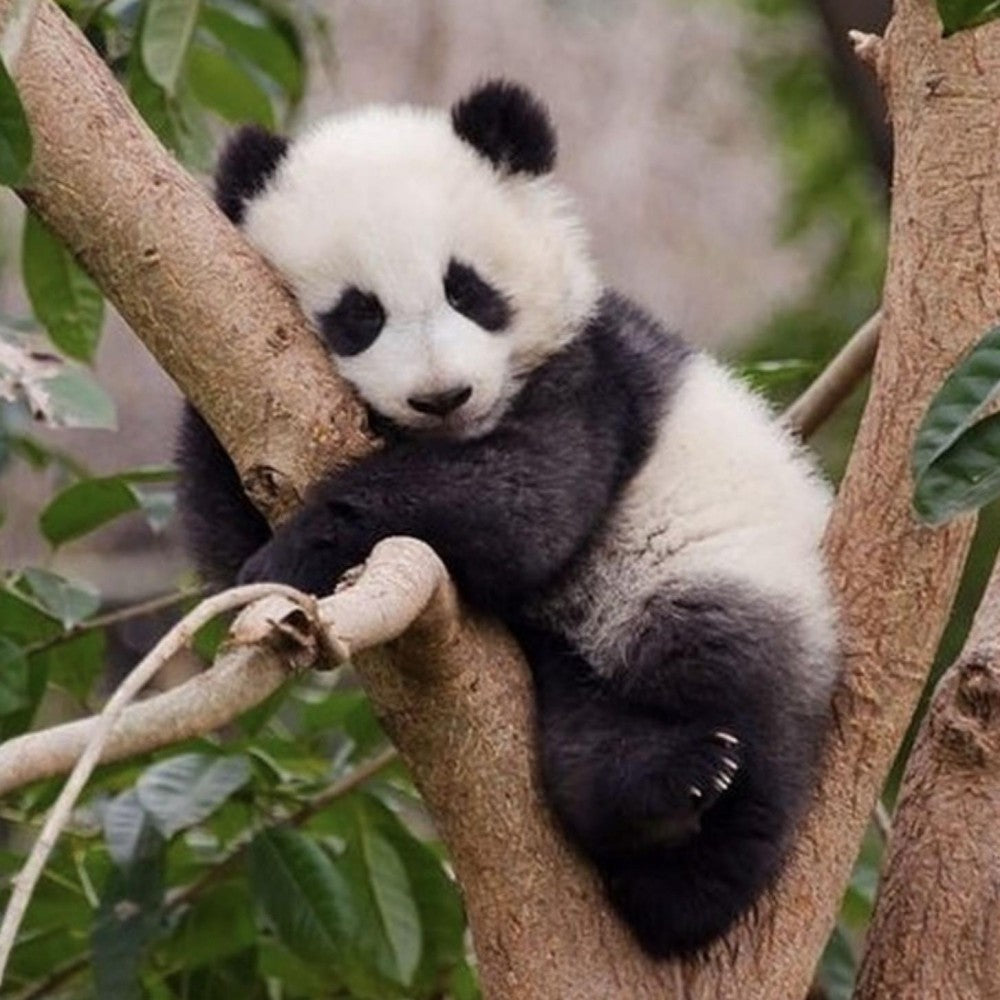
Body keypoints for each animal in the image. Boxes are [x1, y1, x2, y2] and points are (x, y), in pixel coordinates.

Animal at [177, 80, 839, 959]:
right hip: (565, 668)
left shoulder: (586, 381)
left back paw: (690, 857)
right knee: (583, 741)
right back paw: (654, 794)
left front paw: (299, 549)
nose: (442, 396)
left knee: (726, 679)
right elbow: (226, 527)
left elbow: (526, 504)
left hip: (716, 570)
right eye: (359, 313)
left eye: (468, 290)